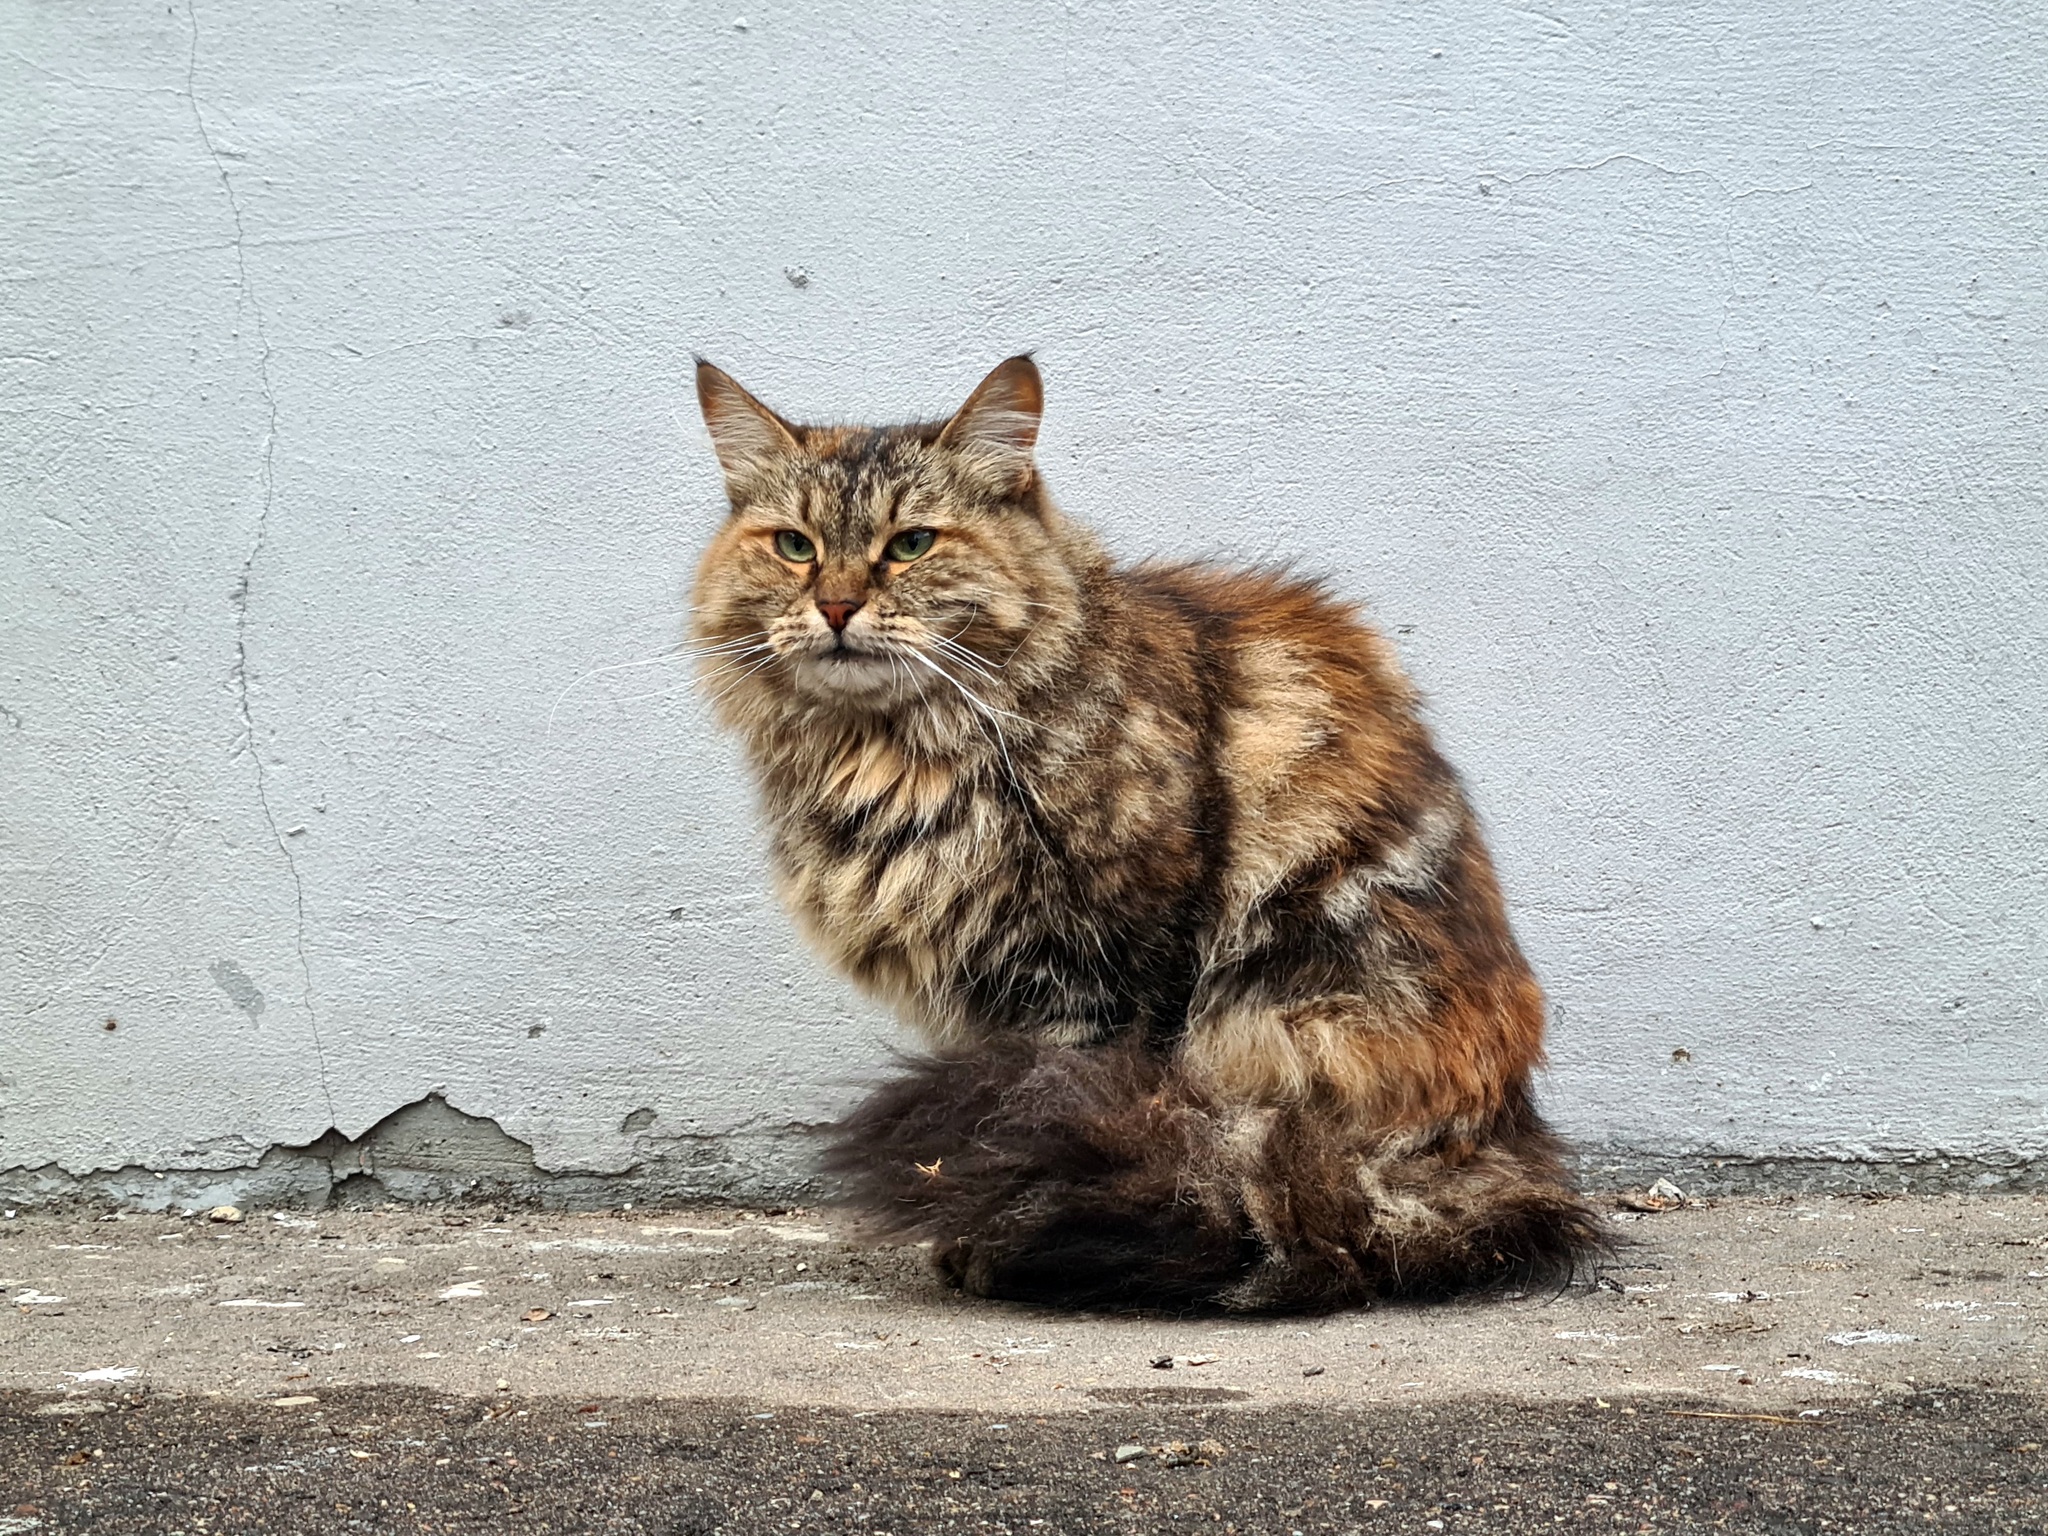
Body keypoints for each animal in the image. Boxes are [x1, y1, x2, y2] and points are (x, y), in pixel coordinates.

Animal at [688, 358, 1597, 1310]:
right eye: (795, 546)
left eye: (911, 544)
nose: (835, 605)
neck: (883, 754)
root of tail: (1510, 1148)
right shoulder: (985, 996)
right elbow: (1001, 1121)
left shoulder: (1102, 966)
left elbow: (1047, 1110)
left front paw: (993, 1246)